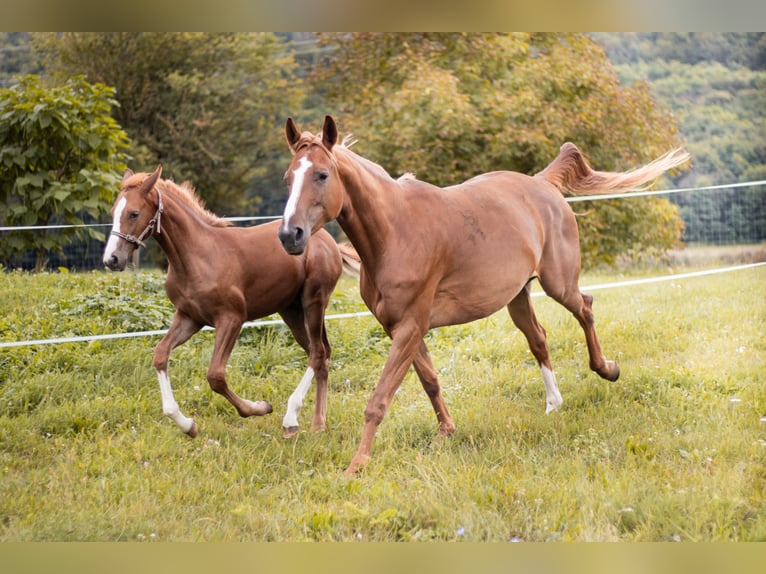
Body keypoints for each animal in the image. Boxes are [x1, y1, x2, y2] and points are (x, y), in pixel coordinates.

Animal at [102, 168, 360, 440]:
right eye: (113, 212)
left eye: (134, 213)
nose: (112, 259)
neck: (197, 255)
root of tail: (326, 239)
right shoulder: (188, 318)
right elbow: (160, 355)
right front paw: (187, 425)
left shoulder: (232, 318)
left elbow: (215, 375)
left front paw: (260, 407)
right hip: (291, 310)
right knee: (321, 353)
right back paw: (318, 423)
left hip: (314, 301)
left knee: (318, 352)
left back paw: (292, 419)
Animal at [280, 115, 692, 474]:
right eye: (288, 178)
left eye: (322, 174)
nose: (289, 235)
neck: (394, 231)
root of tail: (543, 183)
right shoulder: (400, 328)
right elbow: (430, 381)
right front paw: (446, 433)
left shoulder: (410, 327)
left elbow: (378, 400)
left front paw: (356, 466)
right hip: (518, 296)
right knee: (539, 340)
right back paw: (553, 404)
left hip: (559, 284)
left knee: (585, 308)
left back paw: (607, 369)